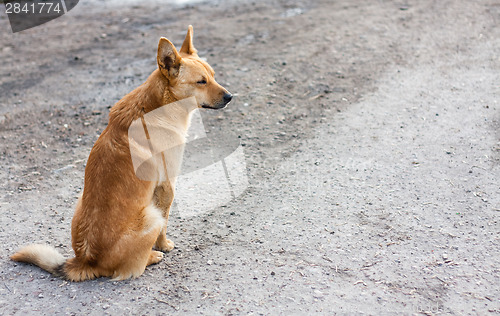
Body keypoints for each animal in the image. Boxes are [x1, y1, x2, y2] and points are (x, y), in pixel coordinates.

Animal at [9, 25, 232, 282]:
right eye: (201, 82)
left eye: (213, 76)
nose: (230, 97)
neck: (160, 105)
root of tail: (86, 261)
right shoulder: (166, 186)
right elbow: (165, 225)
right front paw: (163, 246)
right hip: (151, 215)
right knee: (136, 264)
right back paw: (152, 256)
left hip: (79, 201)